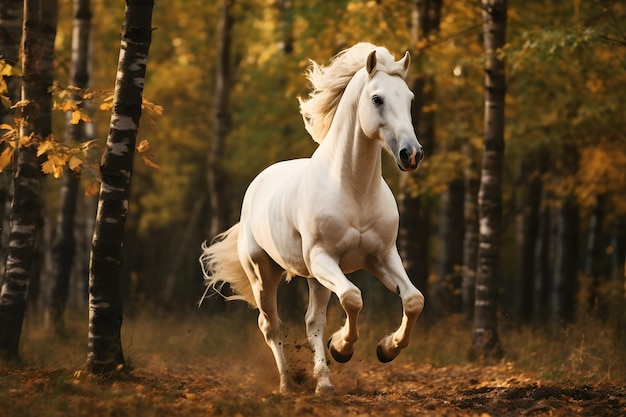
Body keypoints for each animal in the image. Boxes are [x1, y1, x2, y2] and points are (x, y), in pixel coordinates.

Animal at [200, 43, 424, 394]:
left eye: (410, 98)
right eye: (377, 99)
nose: (411, 154)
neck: (354, 189)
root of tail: (257, 184)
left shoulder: (382, 257)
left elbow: (413, 300)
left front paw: (385, 349)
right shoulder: (323, 257)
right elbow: (353, 298)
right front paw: (342, 347)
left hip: (315, 278)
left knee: (312, 322)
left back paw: (324, 383)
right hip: (265, 273)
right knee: (271, 325)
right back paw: (288, 383)